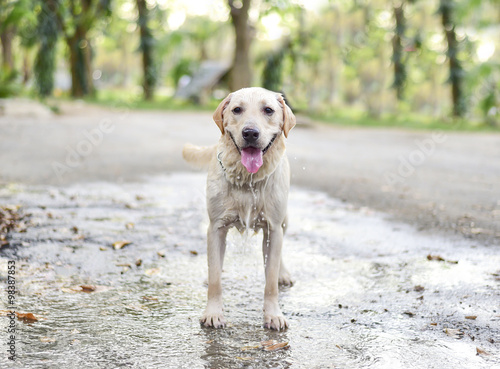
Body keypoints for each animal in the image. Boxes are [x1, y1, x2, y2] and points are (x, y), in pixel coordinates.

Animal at [182, 87, 294, 330]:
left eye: (268, 110)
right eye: (237, 110)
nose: (250, 133)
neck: (249, 181)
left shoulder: (273, 229)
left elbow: (270, 282)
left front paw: (273, 314)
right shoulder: (216, 228)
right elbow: (215, 278)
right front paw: (213, 312)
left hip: (284, 221)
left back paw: (283, 273)